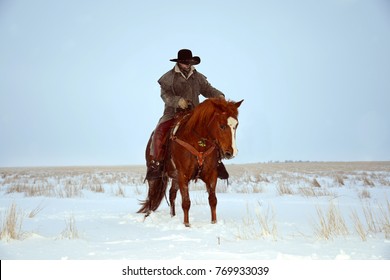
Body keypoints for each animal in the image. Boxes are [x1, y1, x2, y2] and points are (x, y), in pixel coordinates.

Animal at [136, 97, 241, 226]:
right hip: (155, 175)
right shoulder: (183, 175)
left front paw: (214, 222)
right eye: (222, 126)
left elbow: (213, 200)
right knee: (151, 194)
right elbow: (186, 202)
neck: (199, 143)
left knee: (171, 194)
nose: (232, 152)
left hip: (175, 177)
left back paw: (173, 216)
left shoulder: (211, 175)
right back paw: (148, 215)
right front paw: (187, 224)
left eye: (236, 125)